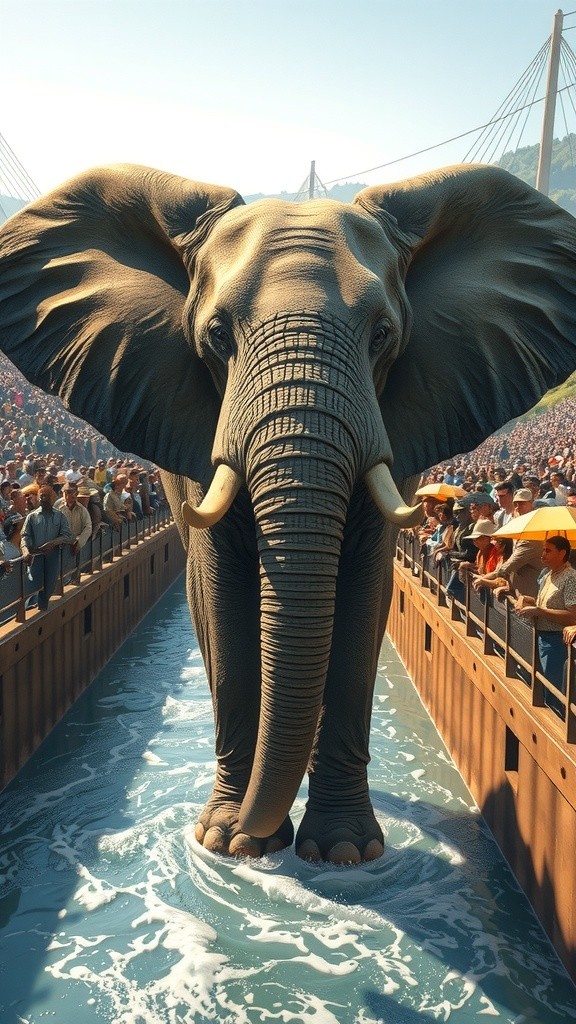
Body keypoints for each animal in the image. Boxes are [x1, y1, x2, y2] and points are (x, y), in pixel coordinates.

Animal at [1, 163, 576, 864]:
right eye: (217, 336)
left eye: (382, 336)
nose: (252, 832)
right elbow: (223, 595)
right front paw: (230, 844)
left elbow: (362, 597)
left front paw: (345, 853)